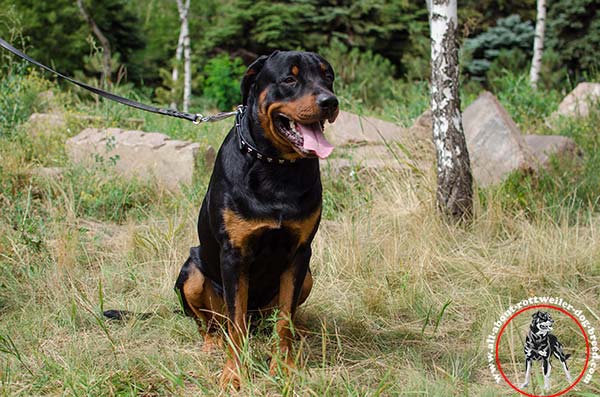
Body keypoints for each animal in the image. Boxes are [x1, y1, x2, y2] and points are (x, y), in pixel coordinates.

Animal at [173, 51, 338, 388]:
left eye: (327, 77)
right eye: (289, 79)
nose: (330, 101)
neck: (275, 166)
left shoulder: (299, 253)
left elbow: (285, 320)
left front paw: (285, 369)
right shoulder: (234, 254)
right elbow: (235, 324)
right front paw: (235, 374)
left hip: (308, 276)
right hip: (192, 272)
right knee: (211, 322)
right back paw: (211, 343)